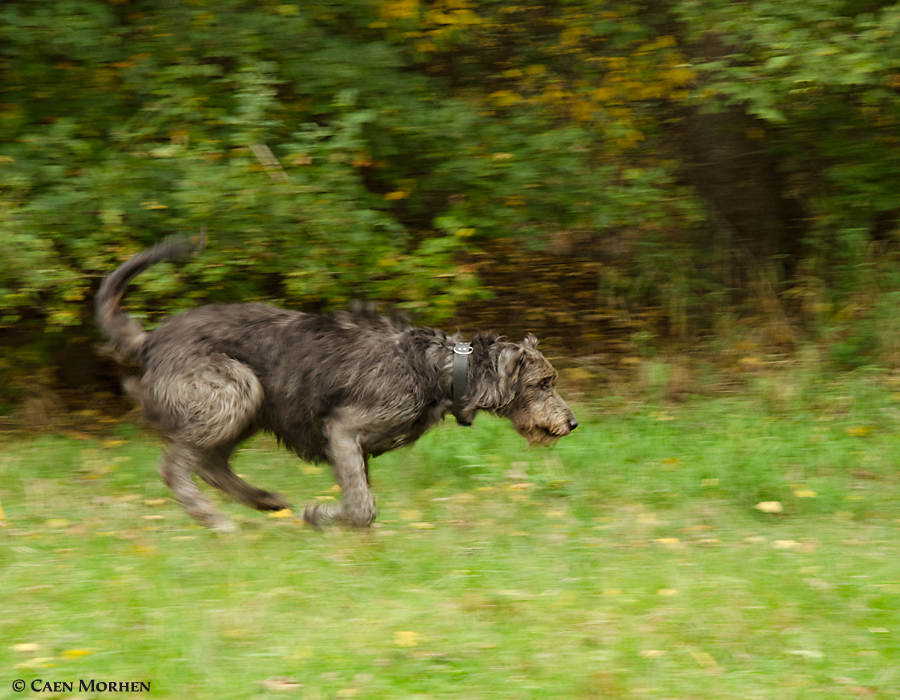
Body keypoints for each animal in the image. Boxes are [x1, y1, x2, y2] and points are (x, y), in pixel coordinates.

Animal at [96, 235, 576, 532]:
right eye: (543, 383)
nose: (572, 423)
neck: (439, 369)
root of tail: (150, 339)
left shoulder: (354, 450)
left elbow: (361, 498)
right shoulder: (344, 430)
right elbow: (363, 507)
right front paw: (321, 516)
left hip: (247, 405)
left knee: (211, 464)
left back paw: (263, 500)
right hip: (235, 390)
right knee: (176, 466)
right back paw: (214, 519)